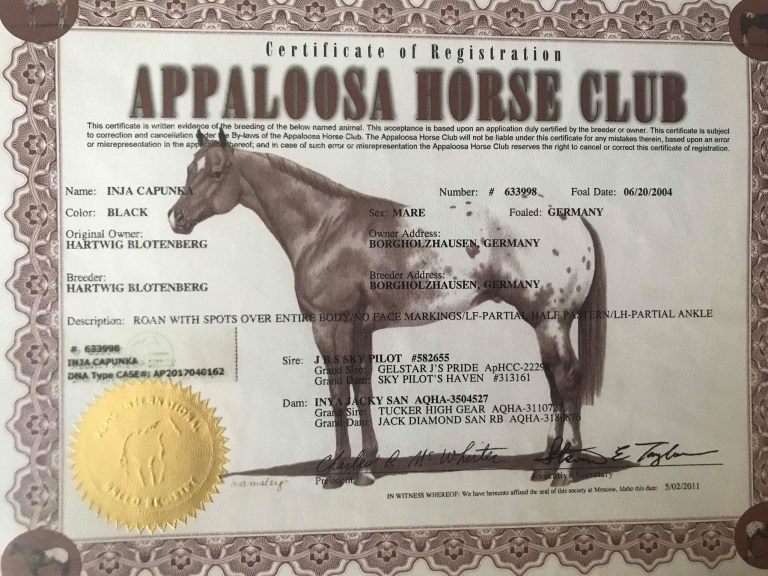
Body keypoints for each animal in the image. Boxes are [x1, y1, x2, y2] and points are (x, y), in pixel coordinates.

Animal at [169, 128, 607, 488]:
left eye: (217, 172)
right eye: (190, 167)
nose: (176, 218)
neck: (327, 228)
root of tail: (575, 219)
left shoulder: (331, 325)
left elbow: (338, 393)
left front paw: (339, 471)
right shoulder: (362, 330)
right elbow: (363, 391)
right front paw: (366, 466)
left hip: (551, 321)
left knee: (567, 379)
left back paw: (566, 469)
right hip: (545, 323)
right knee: (554, 382)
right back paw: (546, 465)